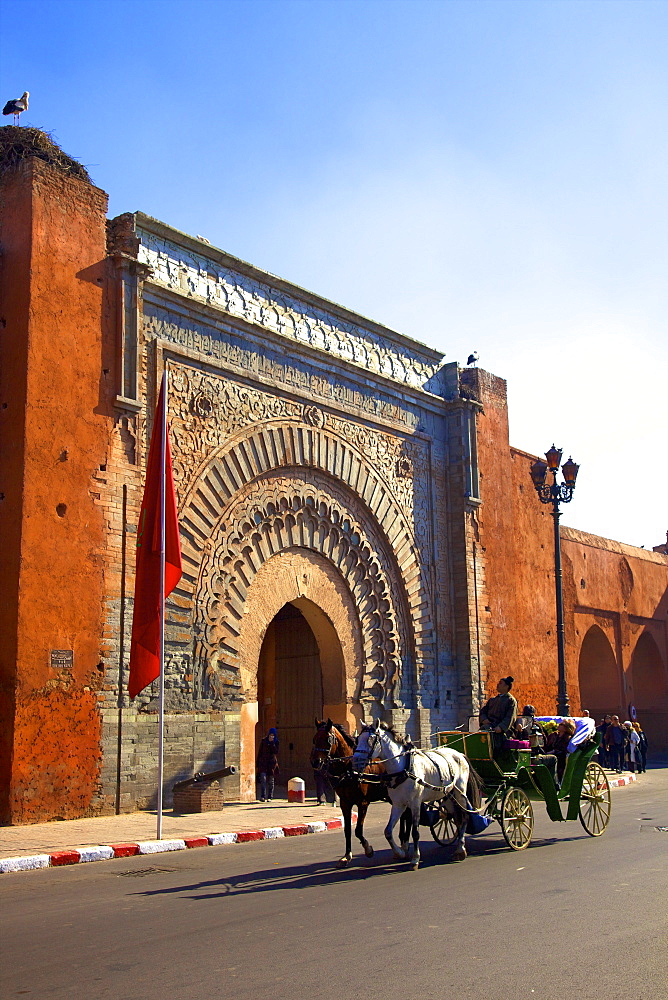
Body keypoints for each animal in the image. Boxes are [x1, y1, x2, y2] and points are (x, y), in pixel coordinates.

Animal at [310, 720, 410, 868]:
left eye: (327, 739)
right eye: (314, 739)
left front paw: (368, 849)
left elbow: (358, 830)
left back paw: (405, 845)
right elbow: (347, 830)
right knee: (403, 816)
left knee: (407, 816)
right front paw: (346, 856)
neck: (349, 767)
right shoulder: (345, 803)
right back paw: (402, 844)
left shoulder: (363, 803)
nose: (315, 762)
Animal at [352, 724, 478, 872]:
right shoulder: (398, 804)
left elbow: (415, 832)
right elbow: (388, 831)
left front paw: (415, 859)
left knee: (465, 816)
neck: (403, 767)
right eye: (357, 739)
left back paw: (461, 849)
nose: (355, 763)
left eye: (370, 740)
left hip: (460, 793)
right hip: (448, 796)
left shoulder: (415, 803)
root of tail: (460, 754)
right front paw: (400, 853)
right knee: (456, 818)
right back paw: (458, 847)